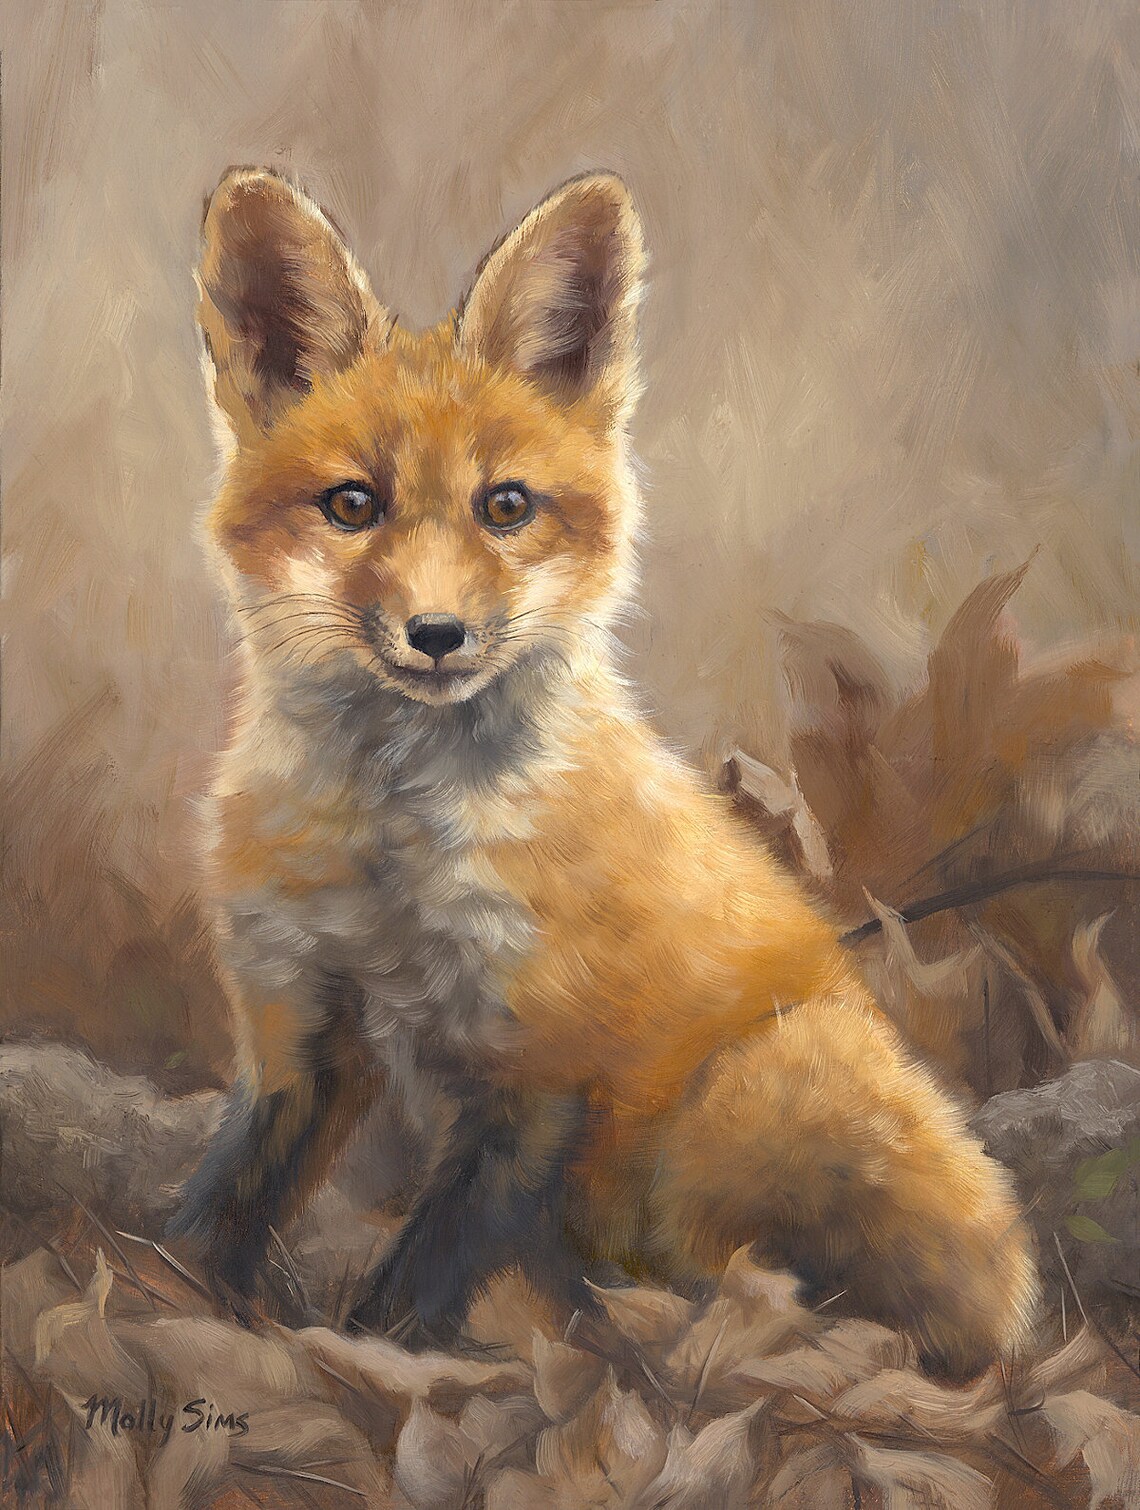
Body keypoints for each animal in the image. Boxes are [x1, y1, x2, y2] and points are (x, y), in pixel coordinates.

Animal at [171, 165, 1039, 1381]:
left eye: (505, 506)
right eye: (352, 504)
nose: (436, 635)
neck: (392, 854)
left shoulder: (545, 1060)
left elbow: (426, 1268)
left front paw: (375, 1353)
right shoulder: (302, 1020)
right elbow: (223, 1204)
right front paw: (182, 1299)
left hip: (736, 1103)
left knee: (765, 1287)